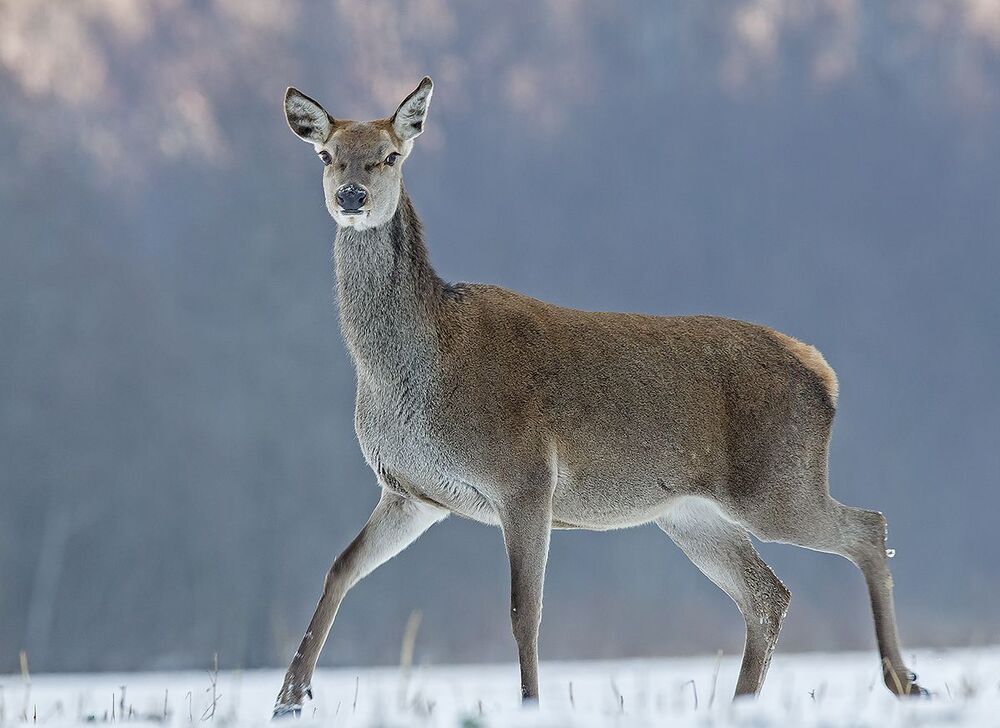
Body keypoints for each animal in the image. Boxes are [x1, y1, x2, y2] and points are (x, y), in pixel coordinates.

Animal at [272, 76, 925, 717]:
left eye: (390, 155)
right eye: (327, 154)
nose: (351, 196)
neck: (408, 376)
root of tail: (824, 373)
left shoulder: (525, 477)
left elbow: (525, 612)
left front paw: (531, 704)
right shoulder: (414, 492)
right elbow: (339, 569)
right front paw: (289, 697)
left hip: (774, 483)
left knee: (867, 527)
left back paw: (903, 679)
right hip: (692, 514)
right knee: (769, 593)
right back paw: (748, 702)